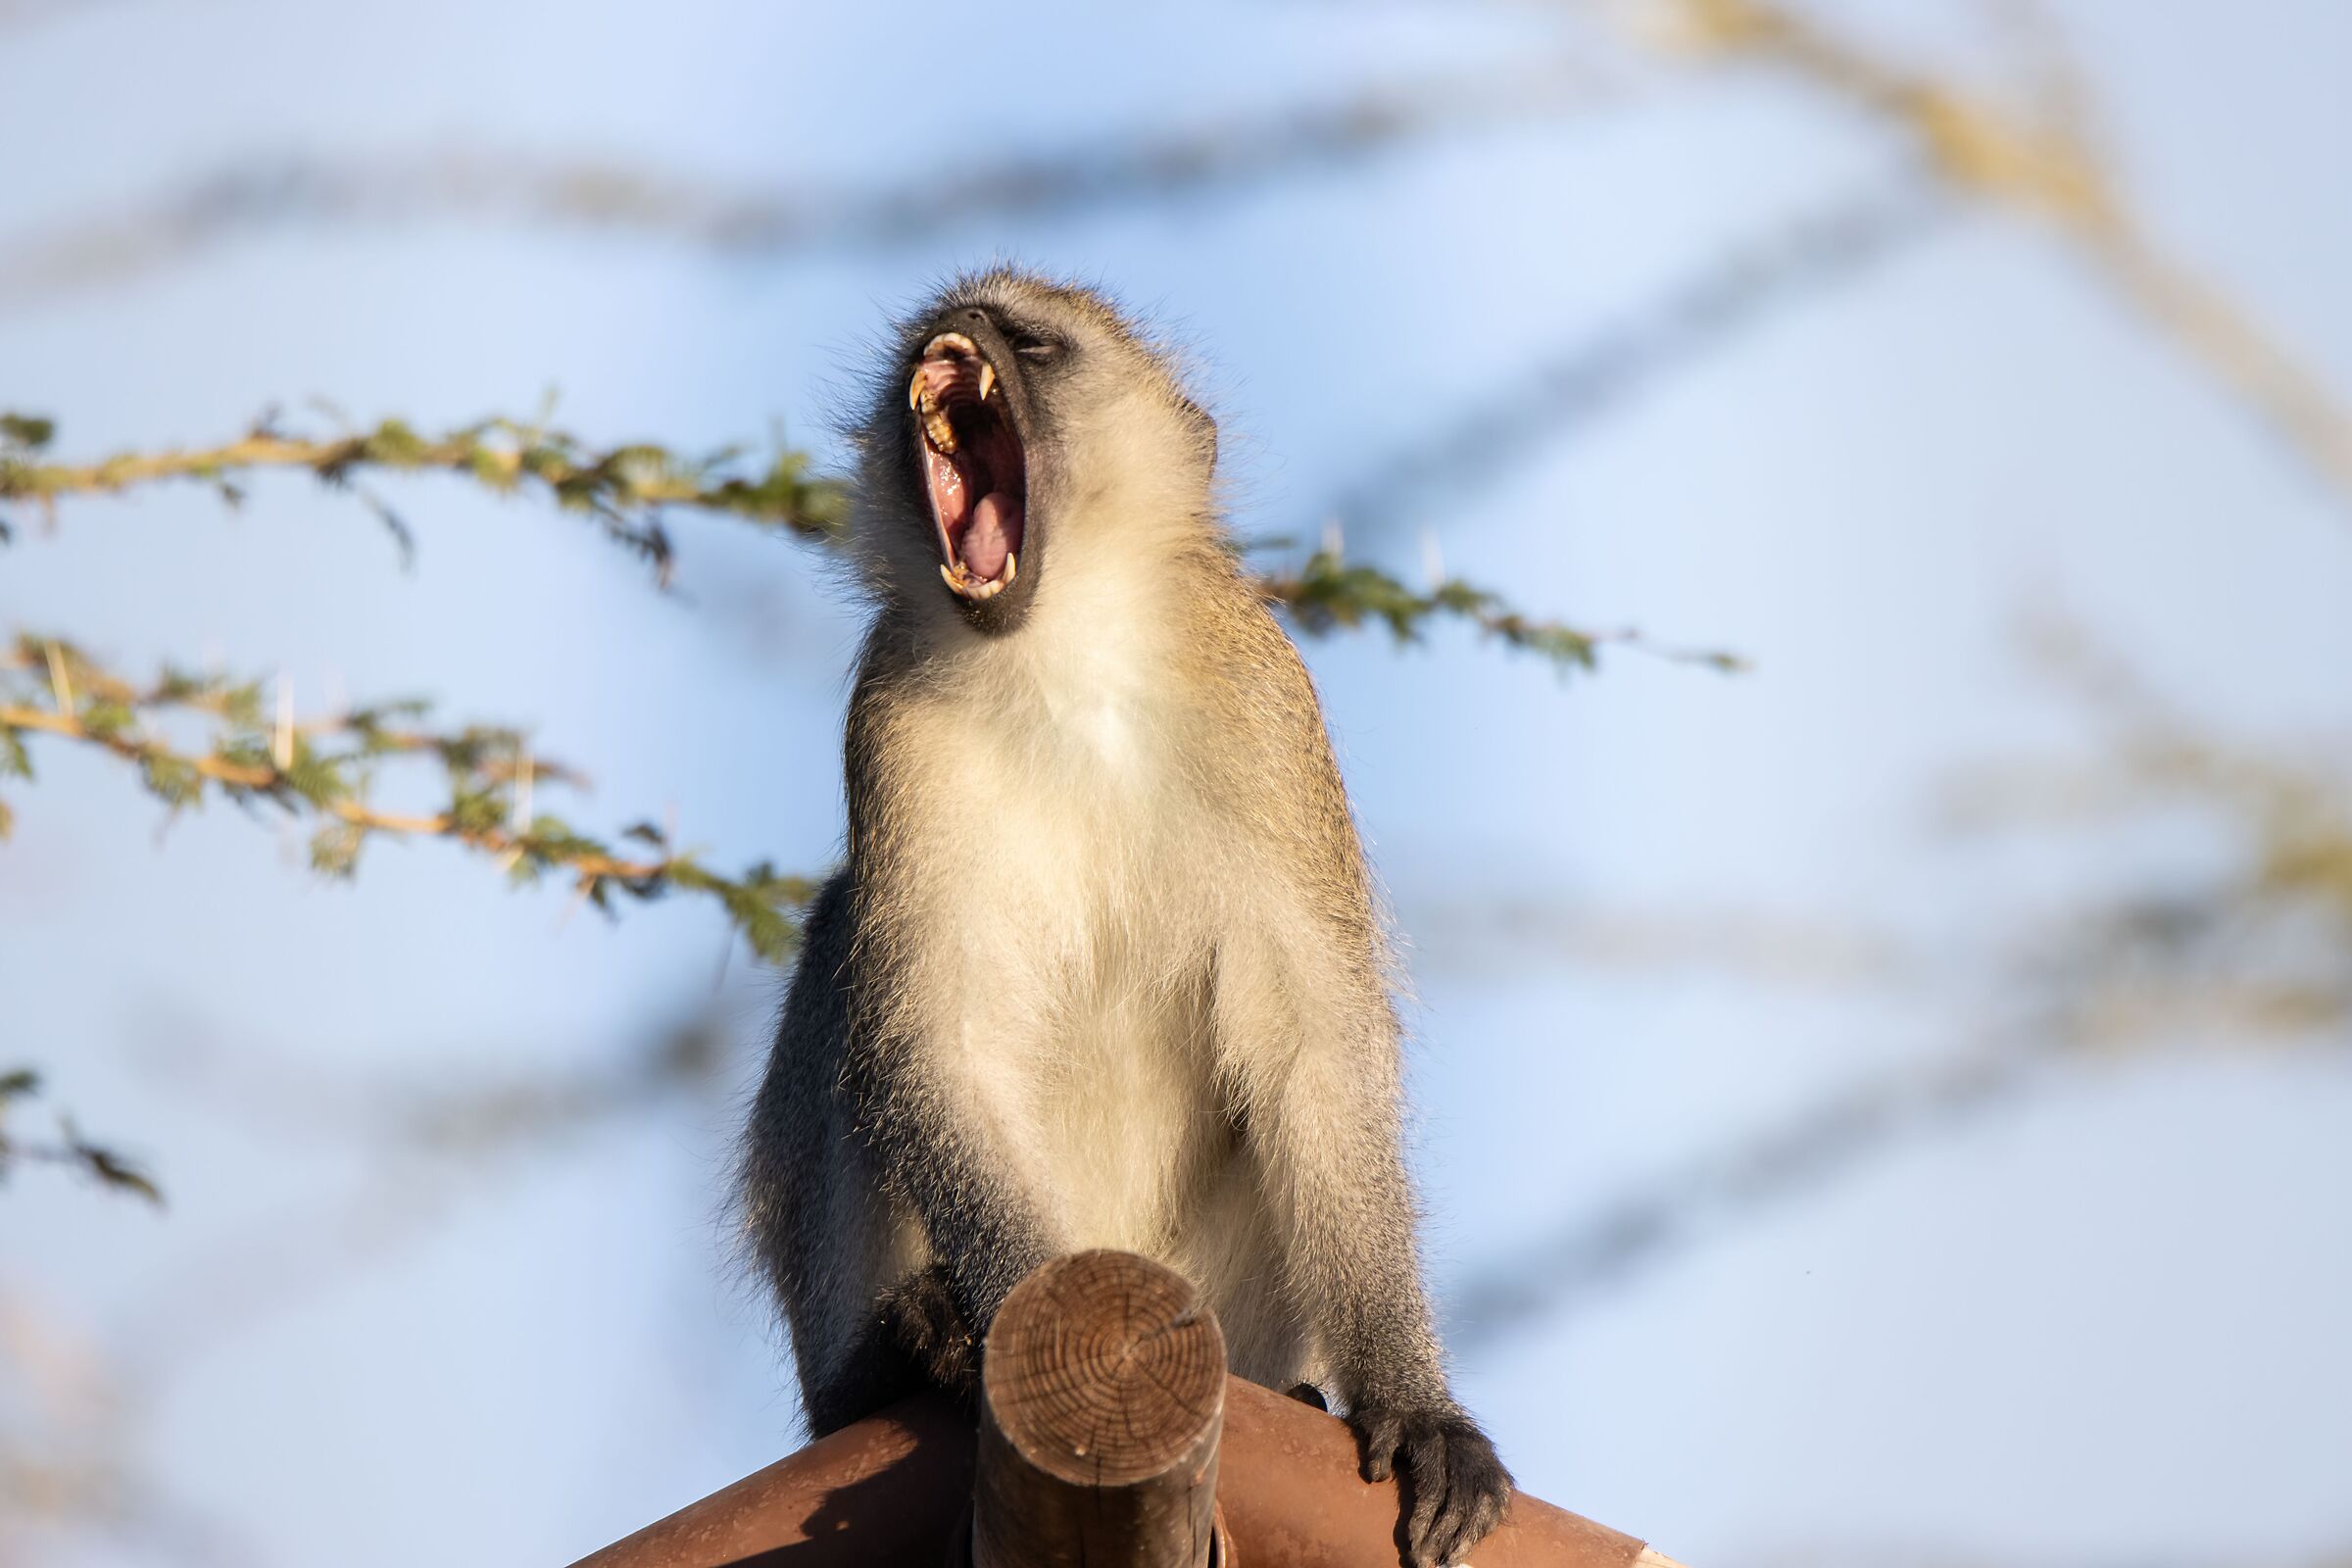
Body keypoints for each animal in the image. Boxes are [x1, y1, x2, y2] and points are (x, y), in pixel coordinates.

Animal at [737, 268, 1511, 1568]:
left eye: (1036, 344)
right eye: (940, 328)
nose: (956, 336)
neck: (1064, 655)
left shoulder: (1266, 700)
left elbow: (1313, 1052)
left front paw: (1413, 1404)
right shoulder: (889, 723)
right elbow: (933, 1046)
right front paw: (1016, 1319)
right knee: (848, 948)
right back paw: (891, 1353)